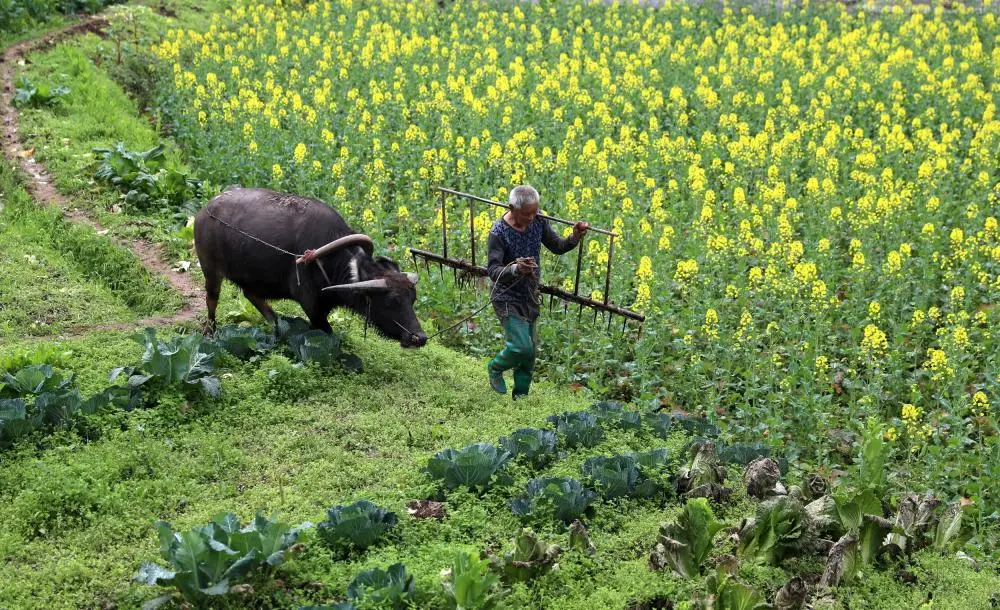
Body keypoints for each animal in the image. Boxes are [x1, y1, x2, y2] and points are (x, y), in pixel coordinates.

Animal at [193, 185, 428, 346]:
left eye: (412, 299)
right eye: (392, 300)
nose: (419, 337)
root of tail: (204, 210)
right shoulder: (311, 304)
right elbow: (325, 332)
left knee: (252, 294)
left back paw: (277, 323)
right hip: (210, 270)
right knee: (212, 300)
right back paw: (210, 332)